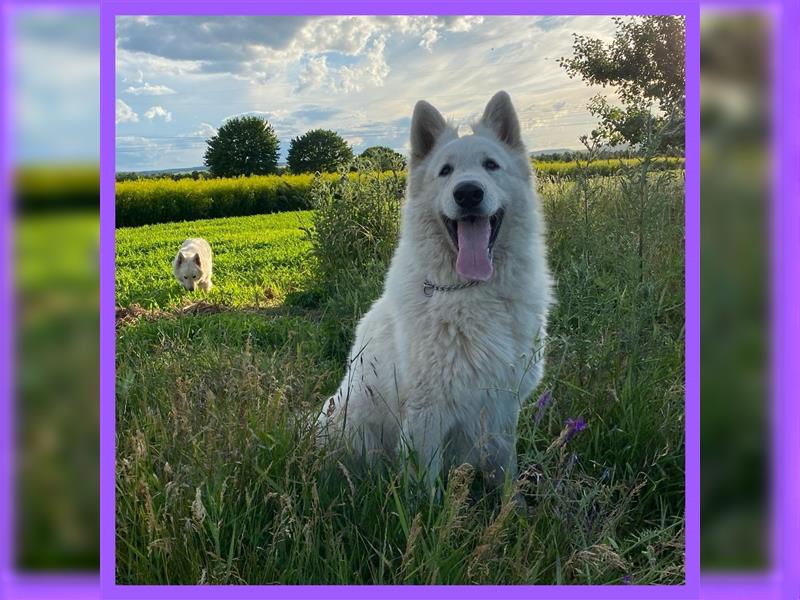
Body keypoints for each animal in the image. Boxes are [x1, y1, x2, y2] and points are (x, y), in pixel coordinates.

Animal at [316, 91, 552, 490]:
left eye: (491, 165)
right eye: (445, 171)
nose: (468, 193)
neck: (470, 290)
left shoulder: (503, 409)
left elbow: (506, 474)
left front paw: (513, 506)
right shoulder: (426, 416)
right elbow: (426, 493)